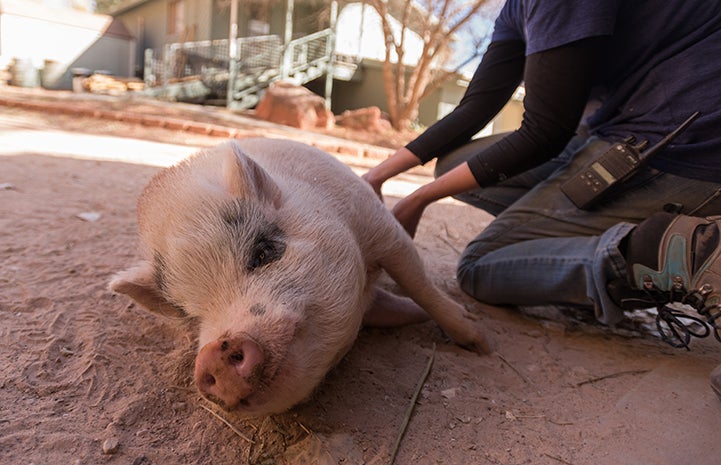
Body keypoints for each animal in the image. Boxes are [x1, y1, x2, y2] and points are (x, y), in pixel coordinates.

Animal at [108, 138, 490, 416]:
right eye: (192, 316)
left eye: (262, 254)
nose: (214, 353)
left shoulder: (383, 228)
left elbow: (418, 282)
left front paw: (478, 341)